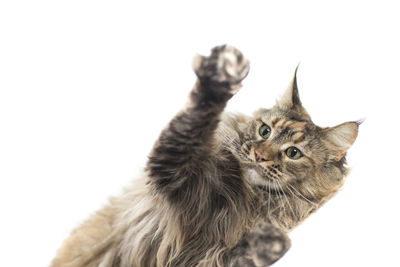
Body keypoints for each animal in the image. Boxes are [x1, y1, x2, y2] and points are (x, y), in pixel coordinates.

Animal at [50, 45, 360, 266]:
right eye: (264, 131)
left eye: (293, 153)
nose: (259, 155)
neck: (247, 199)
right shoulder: (175, 174)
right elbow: (193, 124)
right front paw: (222, 76)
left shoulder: (217, 256)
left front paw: (270, 245)